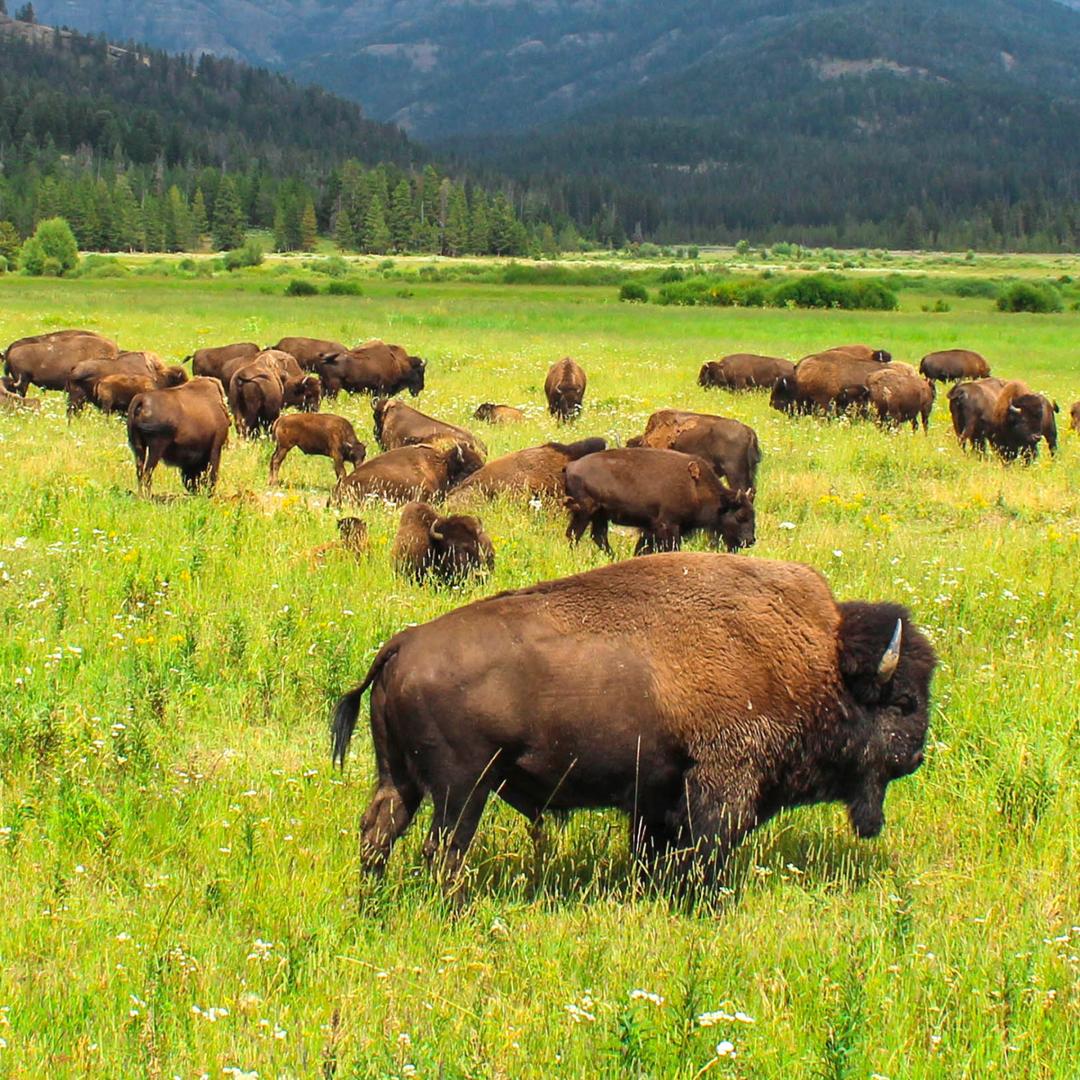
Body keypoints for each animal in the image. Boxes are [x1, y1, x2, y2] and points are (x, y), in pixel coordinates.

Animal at [331, 553, 936, 892]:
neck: (815, 660)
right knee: (443, 852)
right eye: (904, 702)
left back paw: (374, 902)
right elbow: (707, 852)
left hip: (401, 779)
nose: (915, 757)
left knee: (379, 832)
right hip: (463, 790)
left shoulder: (657, 796)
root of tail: (403, 643)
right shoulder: (721, 784)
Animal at [565, 447, 755, 556]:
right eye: (740, 516)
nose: (750, 540)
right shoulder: (668, 525)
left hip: (600, 514)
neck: (696, 486)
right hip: (585, 511)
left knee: (598, 536)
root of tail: (570, 466)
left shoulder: (653, 528)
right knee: (574, 534)